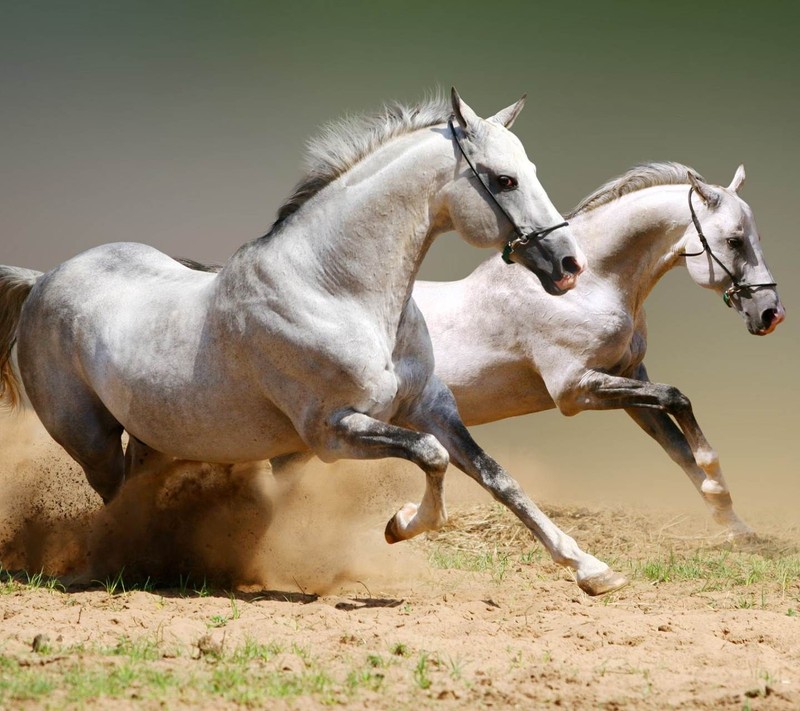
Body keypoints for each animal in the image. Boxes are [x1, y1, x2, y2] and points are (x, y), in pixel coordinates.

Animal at [0, 92, 632, 596]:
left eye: (529, 168)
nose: (569, 265)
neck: (335, 291)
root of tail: (43, 279)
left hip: (153, 437)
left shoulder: (431, 407)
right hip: (92, 441)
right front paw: (401, 524)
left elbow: (498, 478)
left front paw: (592, 570)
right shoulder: (332, 432)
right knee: (112, 501)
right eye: (504, 179)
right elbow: (430, 457)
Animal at [416, 163, 784, 540]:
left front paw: (735, 525)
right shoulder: (574, 390)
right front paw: (715, 481)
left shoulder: (628, 378)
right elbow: (676, 398)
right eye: (734, 241)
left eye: (756, 238)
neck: (588, 288)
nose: (771, 314)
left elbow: (678, 446)